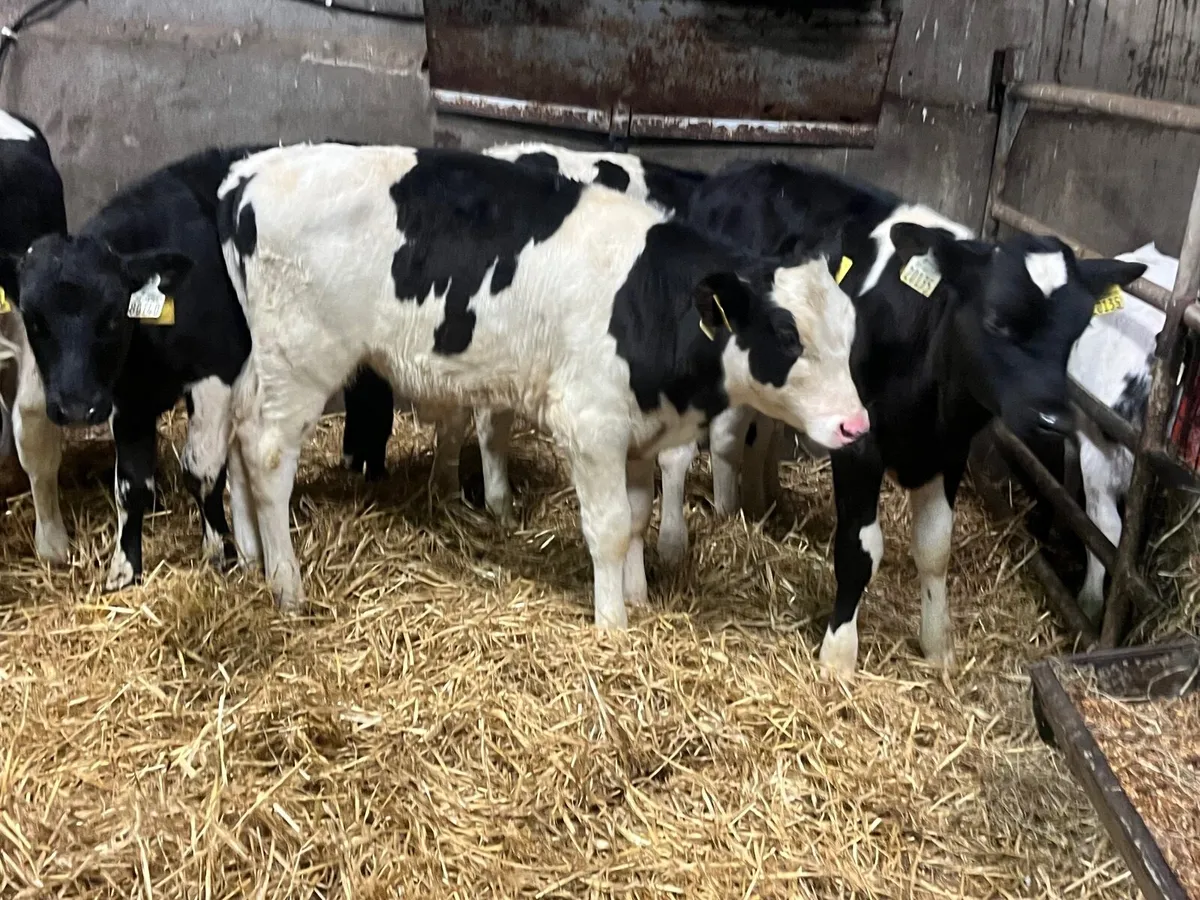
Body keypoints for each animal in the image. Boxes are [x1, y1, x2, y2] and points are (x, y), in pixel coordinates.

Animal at [661, 160, 1146, 675]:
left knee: (764, 434)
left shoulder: (948, 450)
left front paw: (938, 647)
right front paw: (838, 655)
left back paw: (764, 501)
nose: (1054, 420)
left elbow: (935, 549)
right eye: (996, 320)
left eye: (1078, 330)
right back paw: (700, 526)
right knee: (714, 442)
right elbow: (859, 550)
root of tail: (737, 171)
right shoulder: (859, 444)